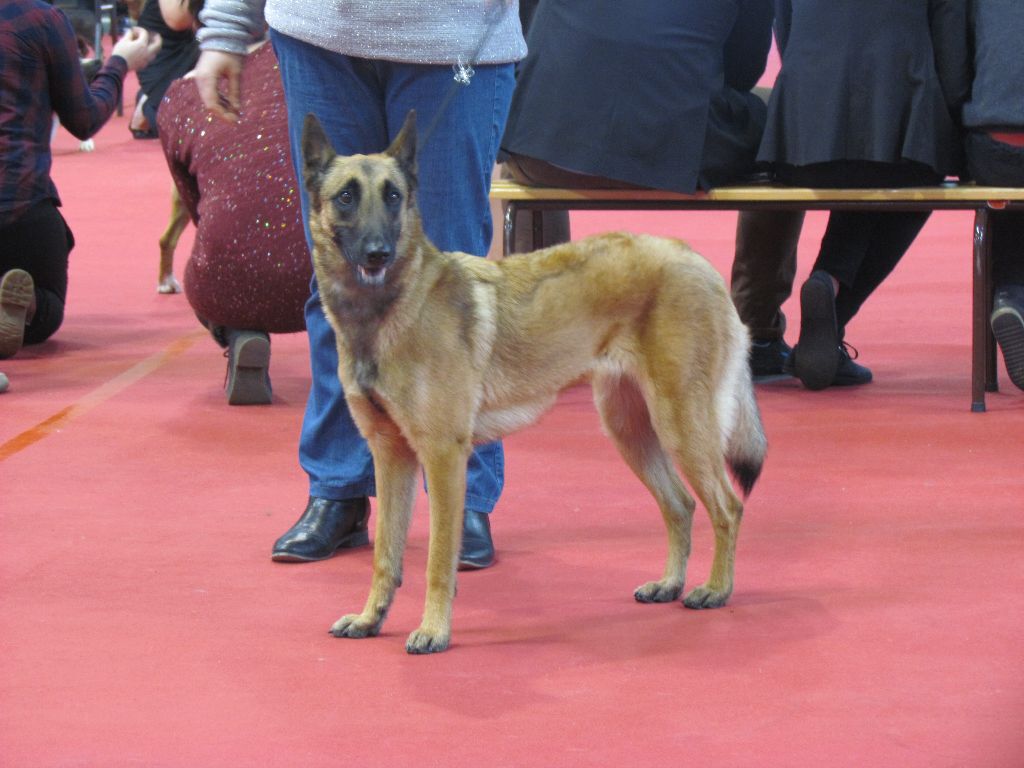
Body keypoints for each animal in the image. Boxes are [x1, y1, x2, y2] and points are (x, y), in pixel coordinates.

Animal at [299, 112, 765, 655]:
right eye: (346, 197)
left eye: (393, 196)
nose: (378, 253)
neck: (387, 310)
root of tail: (692, 256)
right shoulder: (390, 456)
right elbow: (384, 557)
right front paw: (370, 618)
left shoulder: (442, 457)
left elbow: (437, 558)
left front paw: (434, 629)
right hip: (631, 430)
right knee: (681, 504)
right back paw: (670, 583)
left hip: (681, 425)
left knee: (727, 506)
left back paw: (715, 589)